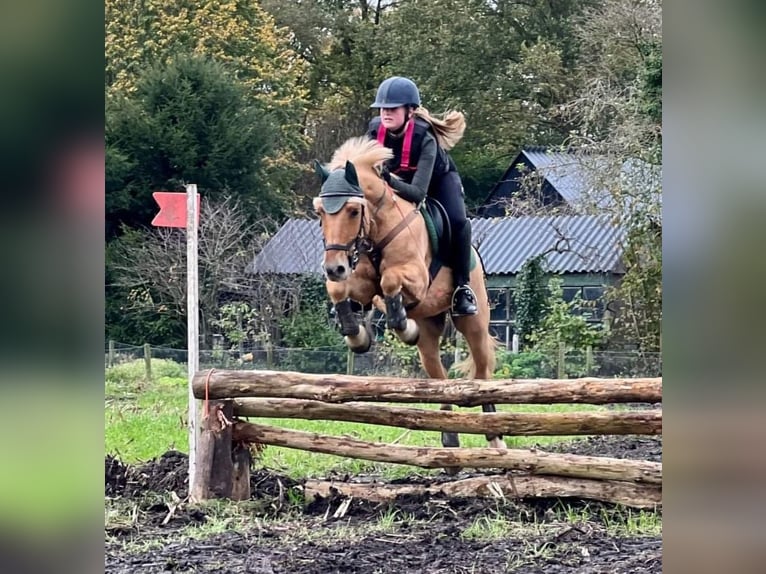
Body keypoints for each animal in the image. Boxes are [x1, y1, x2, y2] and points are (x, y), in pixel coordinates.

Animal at [316, 137, 508, 456]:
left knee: (482, 372)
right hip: (430, 333)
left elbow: (390, 280)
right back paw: (449, 436)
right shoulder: (364, 286)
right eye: (320, 212)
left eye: (354, 211)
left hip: (475, 323)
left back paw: (495, 436)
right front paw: (358, 335)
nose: (334, 268)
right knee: (439, 377)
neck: (377, 230)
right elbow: (342, 291)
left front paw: (404, 329)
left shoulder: (417, 280)